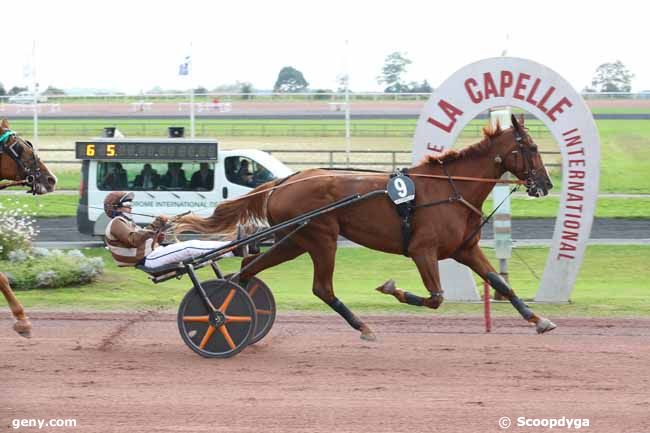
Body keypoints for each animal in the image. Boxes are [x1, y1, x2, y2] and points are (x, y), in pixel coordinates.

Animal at [176, 115, 552, 340]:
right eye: (532, 147)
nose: (546, 185)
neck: (449, 188)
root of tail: (283, 182)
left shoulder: (465, 249)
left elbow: (501, 284)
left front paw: (538, 320)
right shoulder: (423, 250)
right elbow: (435, 298)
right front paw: (391, 288)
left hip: (294, 240)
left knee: (245, 268)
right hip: (321, 238)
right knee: (321, 288)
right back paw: (362, 326)